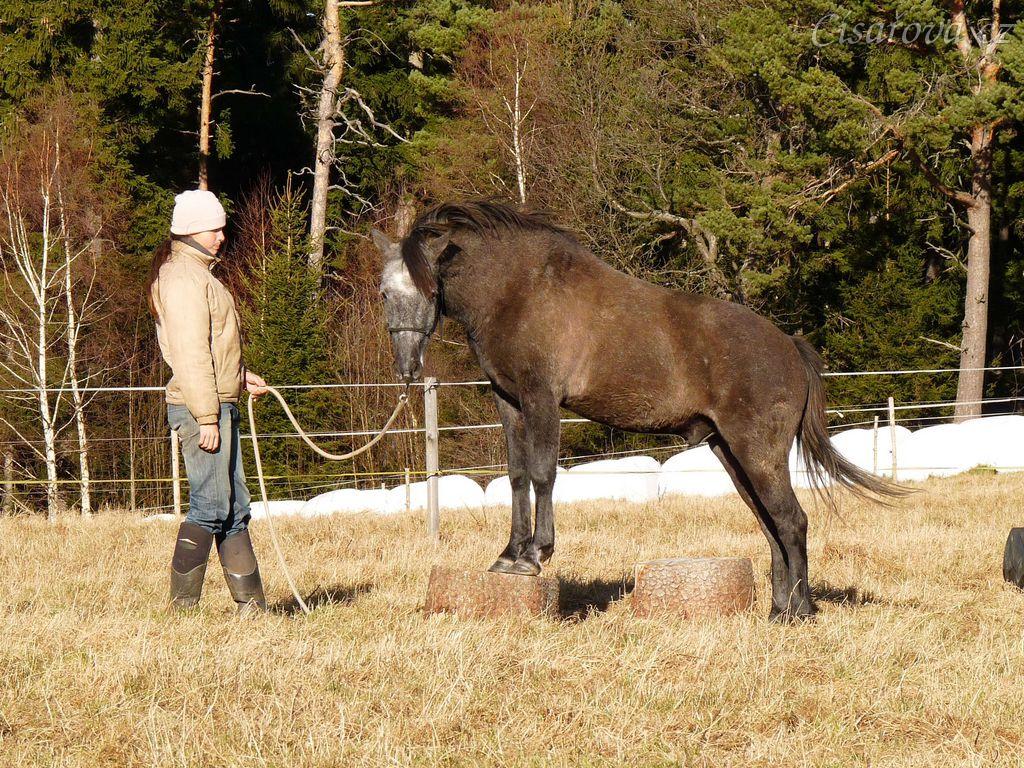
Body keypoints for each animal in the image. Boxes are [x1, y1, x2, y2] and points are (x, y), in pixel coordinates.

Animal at [372, 201, 903, 621]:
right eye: (384, 293)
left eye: (426, 288)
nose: (407, 366)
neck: (519, 290)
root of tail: (790, 346)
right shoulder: (509, 401)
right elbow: (517, 475)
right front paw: (509, 554)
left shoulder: (542, 398)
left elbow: (543, 473)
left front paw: (536, 553)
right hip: (732, 454)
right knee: (771, 525)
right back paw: (778, 609)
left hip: (758, 453)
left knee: (792, 521)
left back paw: (801, 612)